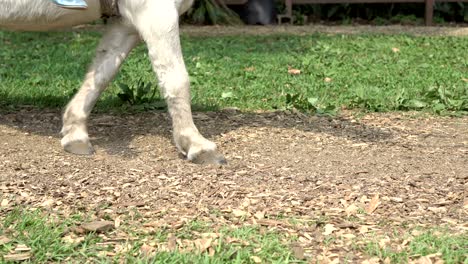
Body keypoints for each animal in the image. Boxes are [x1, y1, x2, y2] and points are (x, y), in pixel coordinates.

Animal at [0, 0, 227, 164]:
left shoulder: (125, 25)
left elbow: (102, 74)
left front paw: (75, 134)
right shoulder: (157, 13)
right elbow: (176, 79)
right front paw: (196, 144)